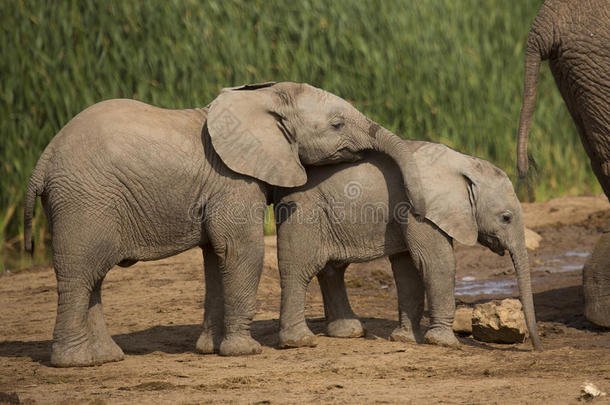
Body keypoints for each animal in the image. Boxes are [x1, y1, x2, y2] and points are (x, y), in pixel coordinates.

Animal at [23, 81, 422, 366]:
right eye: (337, 124)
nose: (416, 207)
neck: (262, 99)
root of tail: (43, 159)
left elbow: (216, 258)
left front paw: (209, 350)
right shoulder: (233, 180)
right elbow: (241, 251)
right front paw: (245, 352)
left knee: (94, 277)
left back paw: (107, 358)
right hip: (84, 202)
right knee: (81, 273)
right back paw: (75, 363)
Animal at [274, 142, 540, 350]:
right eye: (506, 218)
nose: (537, 347)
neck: (464, 164)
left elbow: (408, 268)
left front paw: (405, 340)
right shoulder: (419, 209)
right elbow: (436, 263)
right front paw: (444, 343)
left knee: (333, 269)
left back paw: (348, 332)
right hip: (304, 213)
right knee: (300, 269)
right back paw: (299, 341)